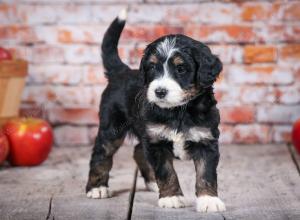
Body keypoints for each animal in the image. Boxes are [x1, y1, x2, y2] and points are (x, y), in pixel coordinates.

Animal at [86, 9, 225, 213]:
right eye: (152, 67)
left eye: (181, 68)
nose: (159, 91)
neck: (178, 112)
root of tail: (121, 71)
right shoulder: (156, 142)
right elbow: (166, 171)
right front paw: (171, 197)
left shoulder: (206, 139)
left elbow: (205, 173)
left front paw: (209, 200)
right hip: (112, 127)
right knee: (101, 154)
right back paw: (97, 188)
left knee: (137, 150)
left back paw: (151, 182)